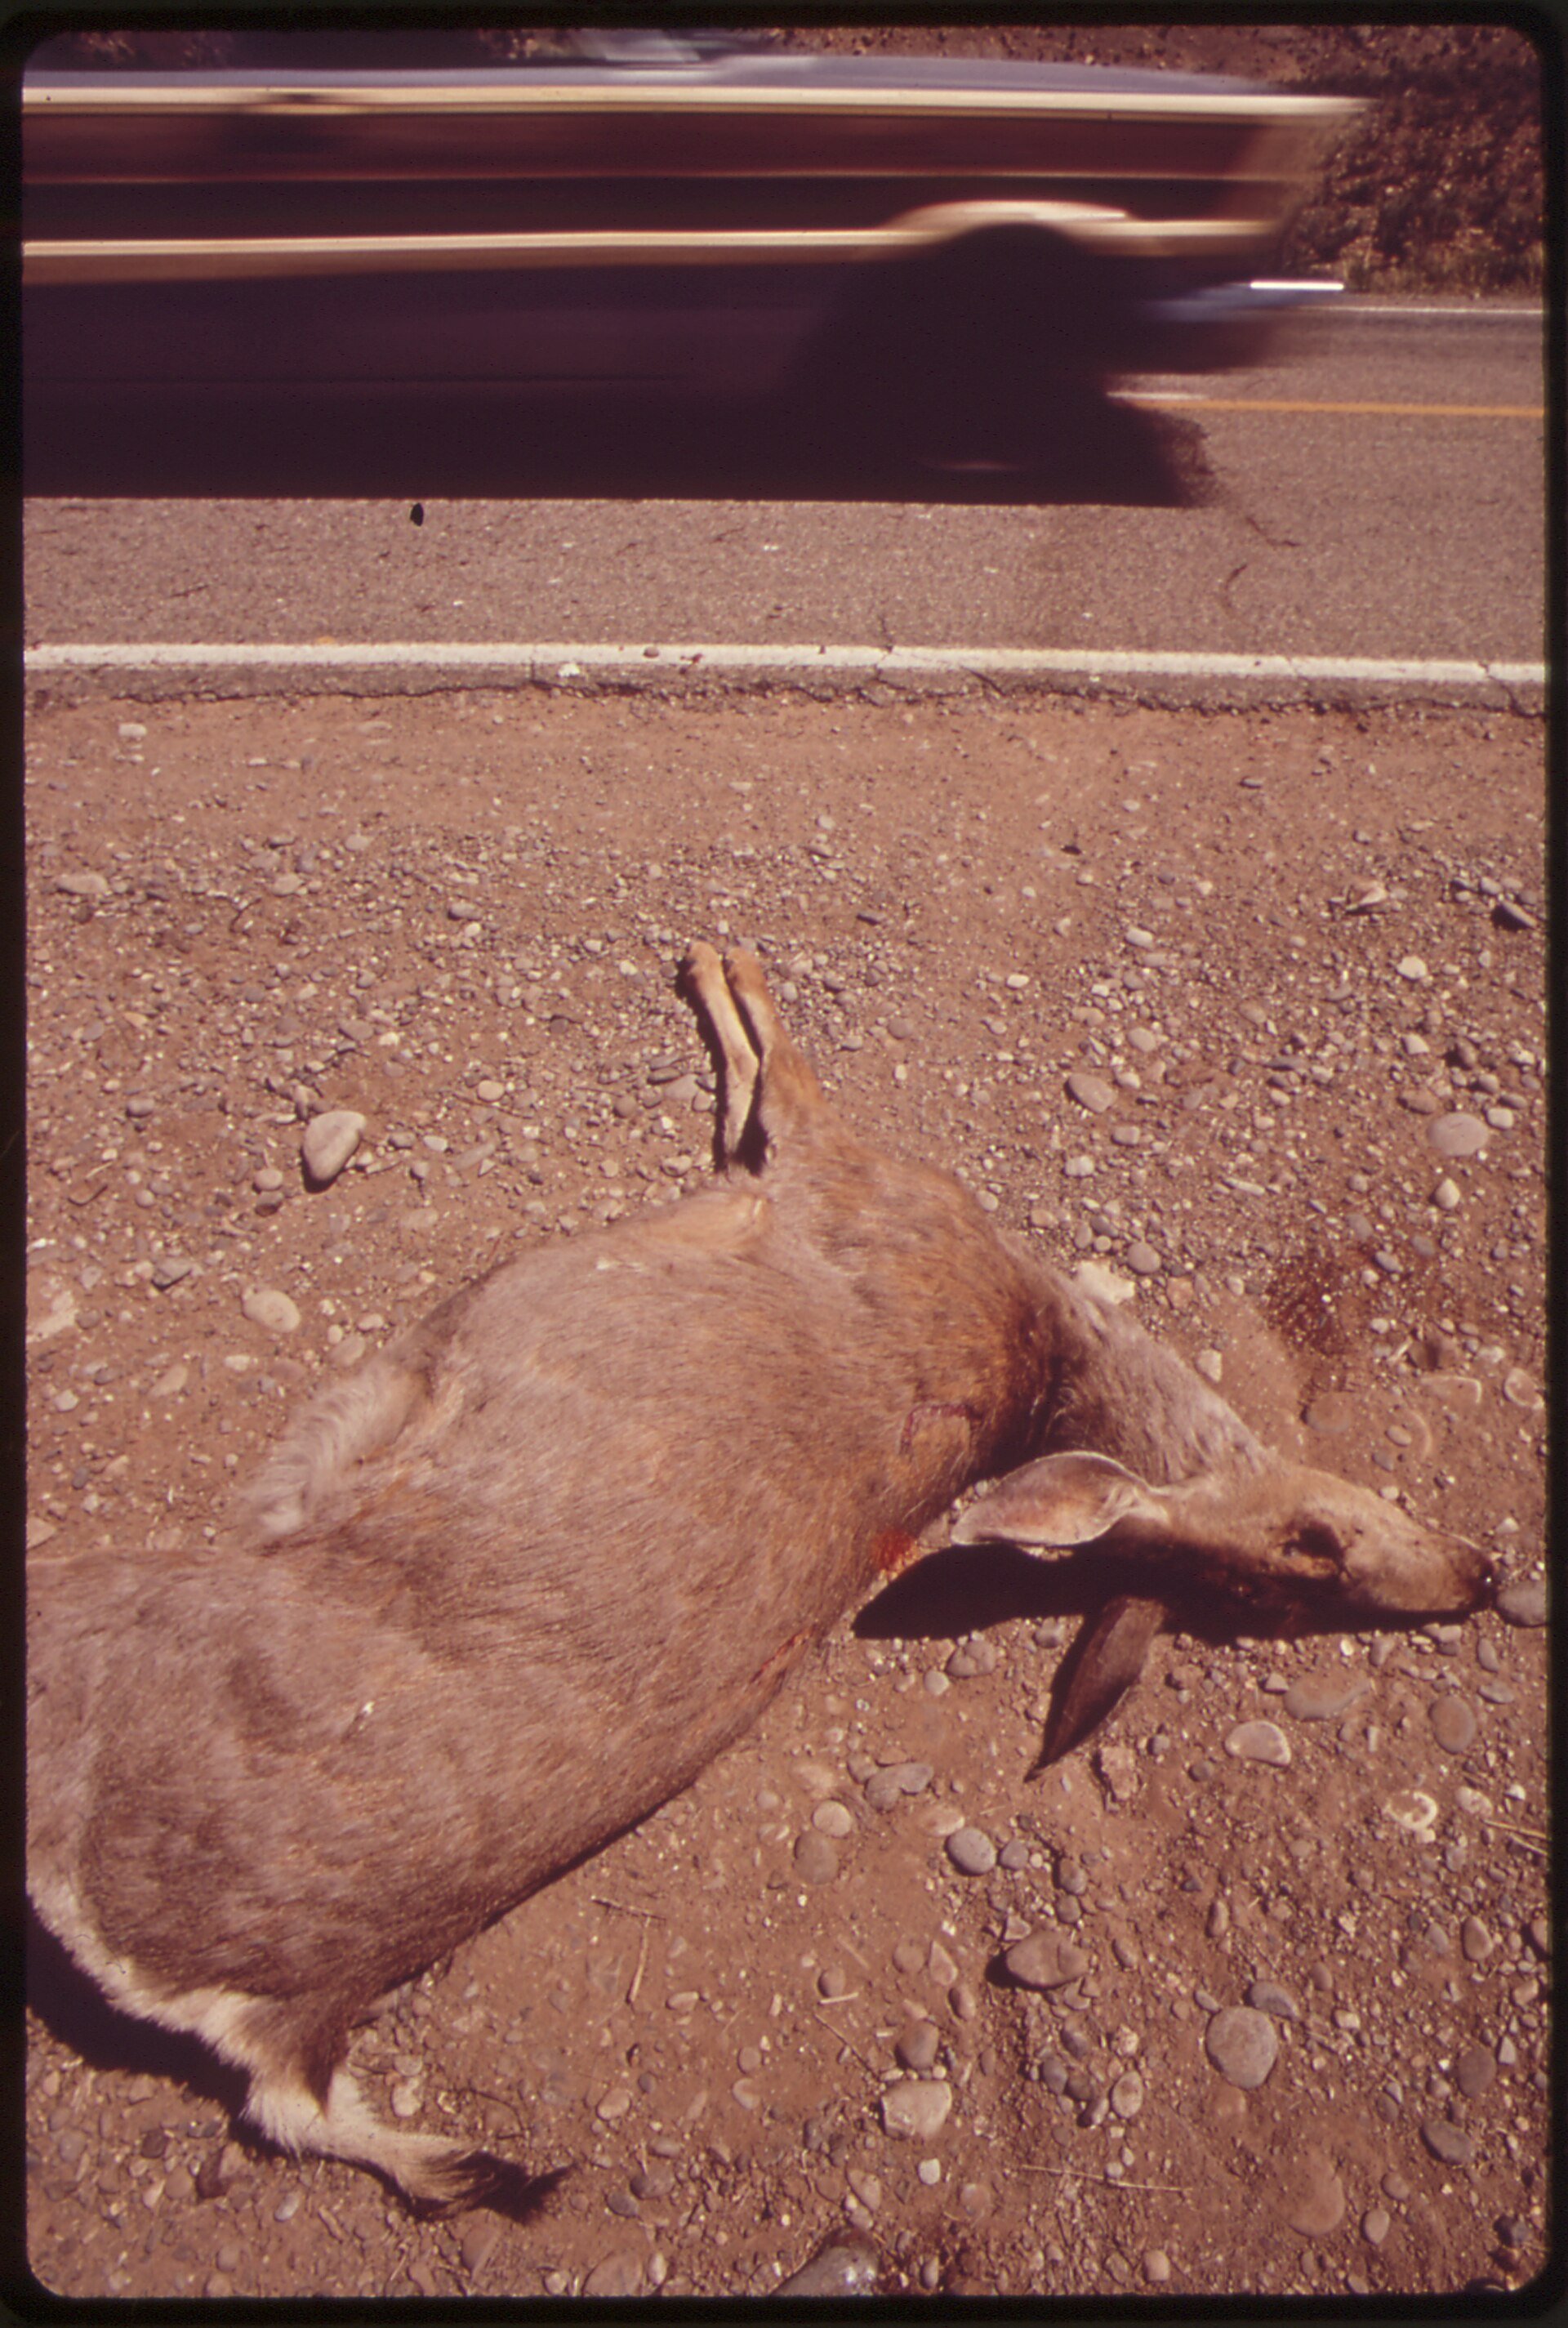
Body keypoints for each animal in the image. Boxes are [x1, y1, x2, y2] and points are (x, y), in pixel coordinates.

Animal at [27, 942, 1490, 2217]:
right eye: (1316, 1549)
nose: (1479, 1571)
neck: (1035, 1338)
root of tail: (290, 2013)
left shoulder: (850, 1170)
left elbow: (777, 1070)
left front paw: (714, 958)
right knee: (302, 2107)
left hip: (104, 1614)